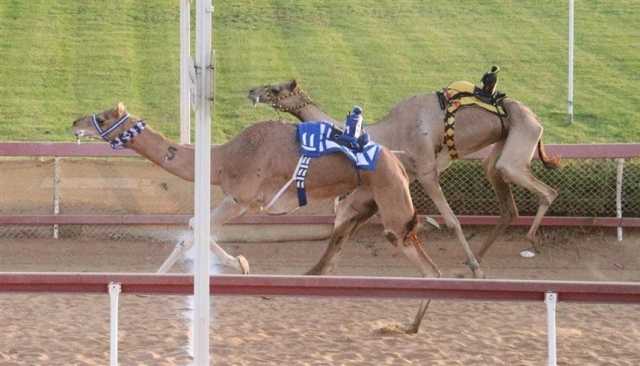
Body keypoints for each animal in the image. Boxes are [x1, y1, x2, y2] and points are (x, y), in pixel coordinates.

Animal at [71, 101, 440, 334]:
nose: (75, 123)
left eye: (104, 116)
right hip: (360, 203)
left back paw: (408, 324)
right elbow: (195, 225)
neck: (221, 159)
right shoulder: (237, 197)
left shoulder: (244, 199)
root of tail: (400, 161)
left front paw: (239, 264)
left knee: (427, 266)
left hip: (391, 201)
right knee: (334, 250)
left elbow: (198, 227)